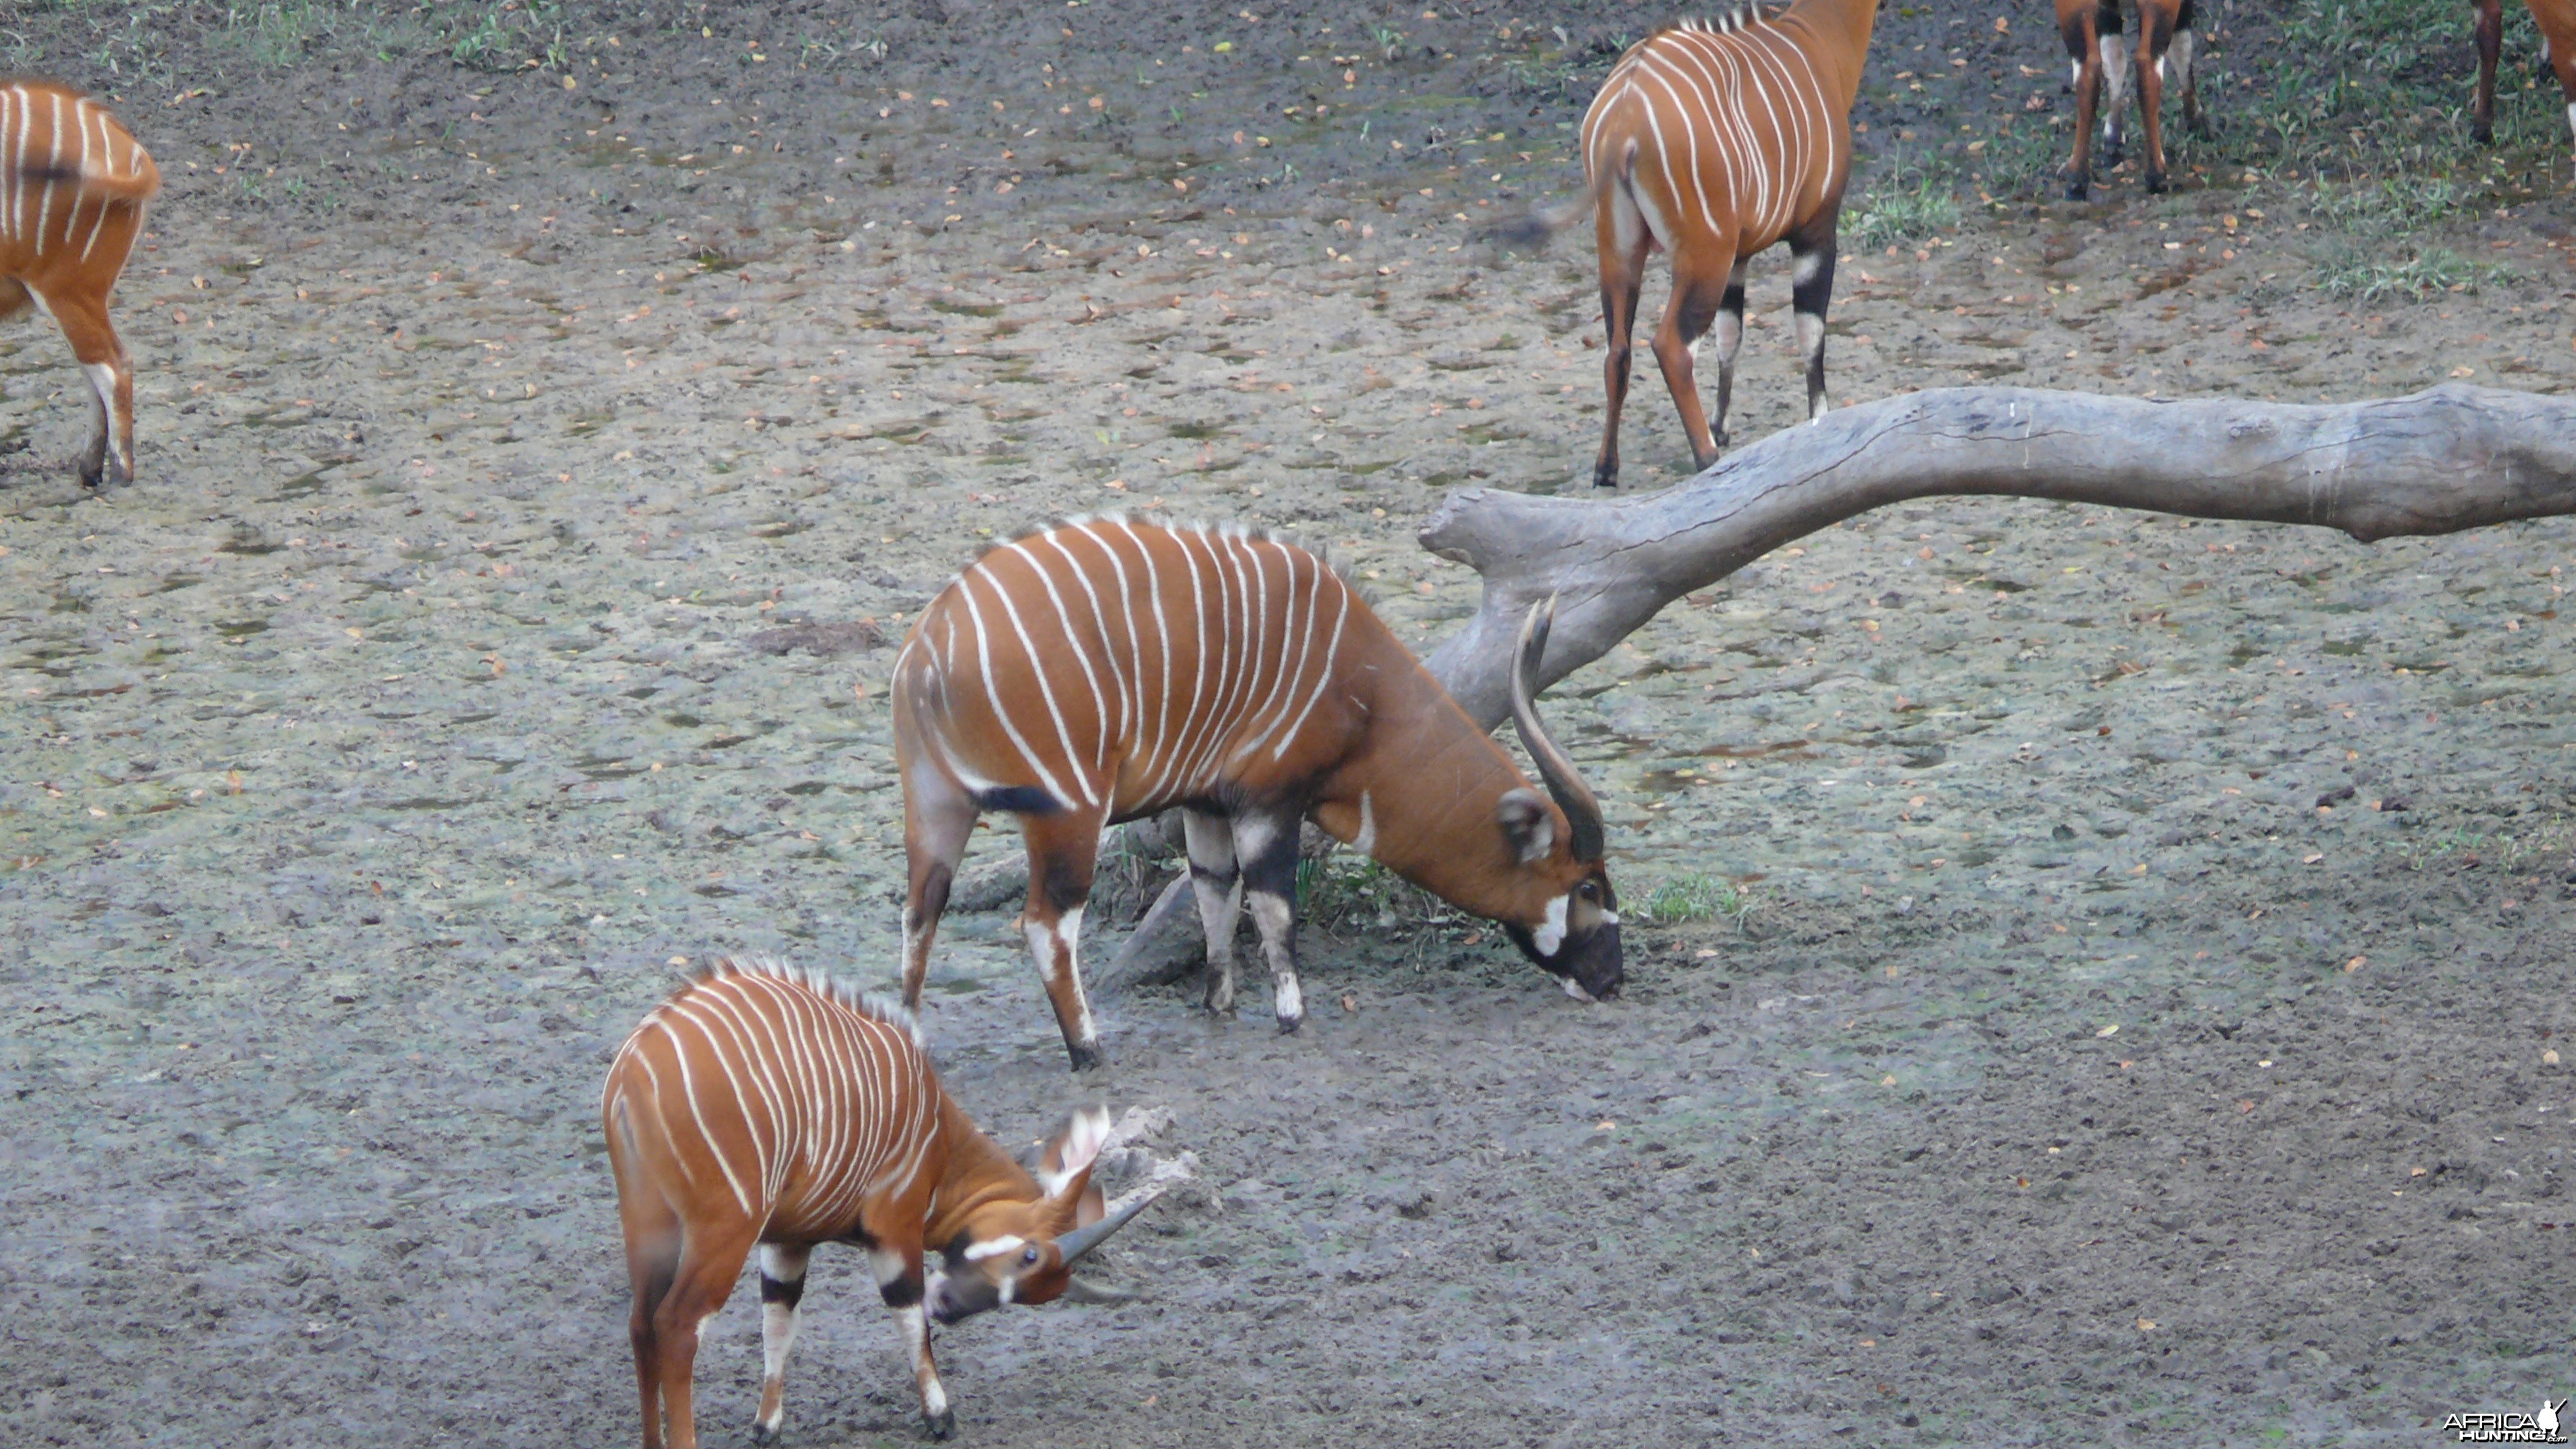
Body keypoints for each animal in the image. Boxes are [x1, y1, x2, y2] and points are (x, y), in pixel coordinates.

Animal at [0, 78, 160, 484]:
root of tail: (135, 155)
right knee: (97, 366)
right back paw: (90, 470)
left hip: (65, 290)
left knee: (112, 366)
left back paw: (118, 476)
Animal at [605, 959, 1159, 1443]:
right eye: (1029, 1257)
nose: (951, 1307)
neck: (940, 1138)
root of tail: (632, 1072)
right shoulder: (894, 1227)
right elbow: (909, 1315)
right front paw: (941, 1416)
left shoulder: (788, 1243)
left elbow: (779, 1323)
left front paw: (767, 1426)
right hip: (725, 1228)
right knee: (676, 1326)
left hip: (650, 1225)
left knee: (639, 1325)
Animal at [886, 512, 1607, 1067]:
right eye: (1590, 889)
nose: (1613, 979)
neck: (1364, 688)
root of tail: (929, 648)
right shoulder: (1268, 800)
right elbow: (1274, 905)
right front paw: (1293, 1014)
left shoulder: (1206, 803)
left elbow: (1216, 895)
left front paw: (1220, 1005)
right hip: (1069, 813)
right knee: (1044, 922)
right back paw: (1088, 1049)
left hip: (938, 809)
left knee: (920, 911)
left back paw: (914, 1046)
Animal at [2050, 0, 2194, 198]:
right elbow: (2182, 42)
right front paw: (2198, 123)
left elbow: (2113, 57)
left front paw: (2112, 139)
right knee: (2147, 63)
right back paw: (2157, 176)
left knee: (2089, 68)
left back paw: (2076, 180)